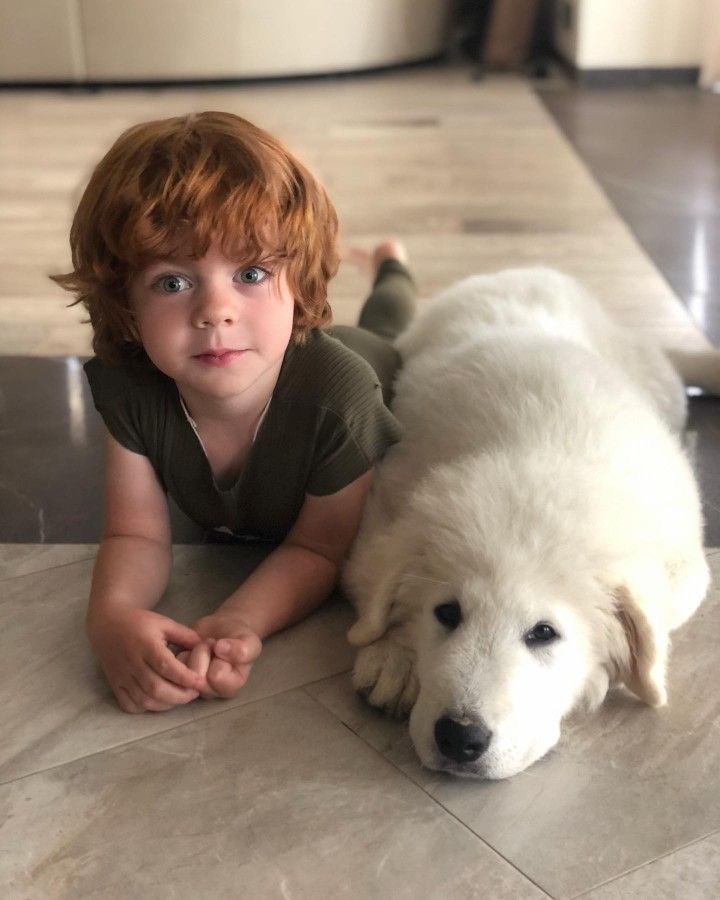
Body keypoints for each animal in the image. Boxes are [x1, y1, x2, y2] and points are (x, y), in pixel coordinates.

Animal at [344, 268, 716, 780]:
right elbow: (376, 585)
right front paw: (393, 658)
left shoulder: (681, 566)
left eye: (544, 633)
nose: (460, 737)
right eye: (447, 613)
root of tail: (526, 271)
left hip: (660, 384)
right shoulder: (381, 514)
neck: (537, 453)